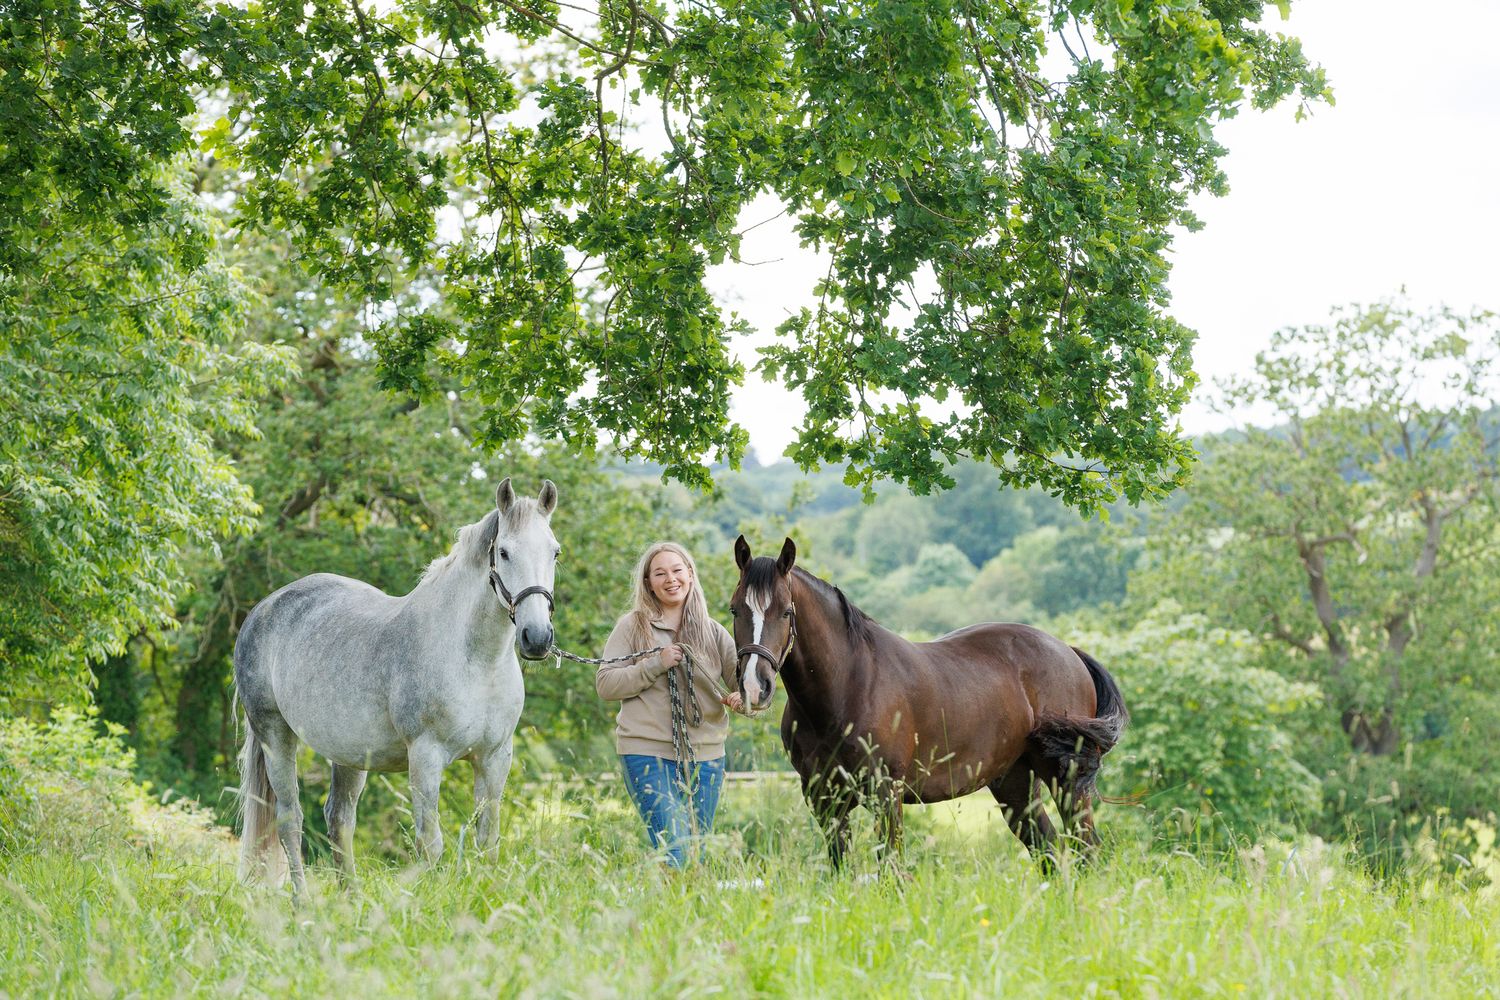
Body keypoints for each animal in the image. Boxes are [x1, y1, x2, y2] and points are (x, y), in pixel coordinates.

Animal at [233, 478, 560, 893]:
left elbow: (488, 842)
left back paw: (351, 897)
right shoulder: (425, 757)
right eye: (503, 552)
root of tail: (261, 611)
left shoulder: (494, 758)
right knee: (290, 820)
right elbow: (430, 844)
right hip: (275, 736)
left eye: (555, 552)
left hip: (349, 753)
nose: (537, 638)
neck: (475, 662)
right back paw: (302, 901)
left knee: (339, 819)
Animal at [729, 535, 1127, 868]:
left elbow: (891, 870)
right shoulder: (824, 799)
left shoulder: (886, 795)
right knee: (1048, 850)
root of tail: (1069, 652)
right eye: (735, 609)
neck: (848, 686)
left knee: (1086, 849)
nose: (754, 685)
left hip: (1067, 781)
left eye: (786, 611)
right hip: (1015, 785)